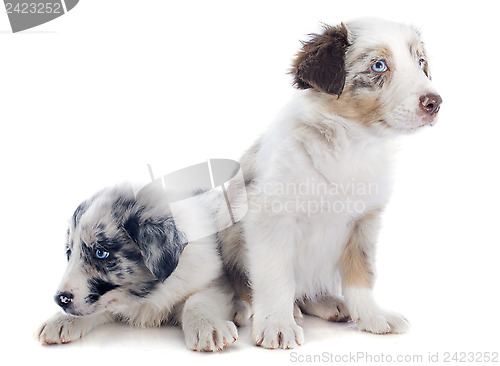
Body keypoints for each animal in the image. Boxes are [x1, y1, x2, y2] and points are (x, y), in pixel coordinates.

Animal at [35, 184, 238, 350]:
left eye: (101, 253)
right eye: (69, 253)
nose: (60, 299)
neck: (147, 296)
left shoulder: (217, 283)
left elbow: (196, 301)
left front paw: (207, 326)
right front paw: (61, 320)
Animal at [219, 17, 442, 348]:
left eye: (420, 62)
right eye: (378, 66)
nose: (435, 103)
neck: (350, 144)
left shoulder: (364, 222)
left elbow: (362, 274)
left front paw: (373, 316)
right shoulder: (270, 220)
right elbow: (276, 277)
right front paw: (276, 325)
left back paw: (326, 302)